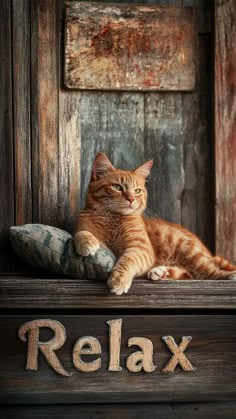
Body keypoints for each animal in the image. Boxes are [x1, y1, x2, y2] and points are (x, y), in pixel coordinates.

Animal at [74, 153, 236, 296]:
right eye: (117, 187)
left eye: (137, 190)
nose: (131, 199)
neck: (112, 218)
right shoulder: (83, 226)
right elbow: (80, 233)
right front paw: (87, 242)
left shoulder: (141, 249)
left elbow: (128, 260)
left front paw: (119, 279)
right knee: (188, 273)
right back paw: (161, 272)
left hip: (190, 252)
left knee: (209, 273)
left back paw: (230, 275)